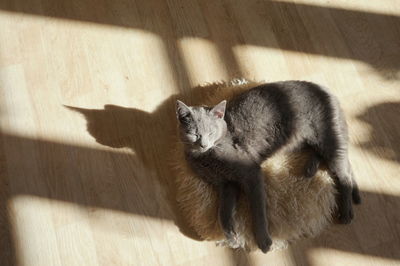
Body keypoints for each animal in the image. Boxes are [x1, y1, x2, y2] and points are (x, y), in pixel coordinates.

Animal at [174, 80, 360, 252]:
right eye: (194, 134)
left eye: (211, 133)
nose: (203, 144)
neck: (206, 158)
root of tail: (326, 90)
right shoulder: (226, 184)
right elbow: (224, 213)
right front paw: (232, 238)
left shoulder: (250, 173)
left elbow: (258, 210)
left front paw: (264, 242)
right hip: (303, 140)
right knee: (337, 160)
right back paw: (311, 168)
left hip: (326, 137)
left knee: (344, 172)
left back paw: (346, 212)